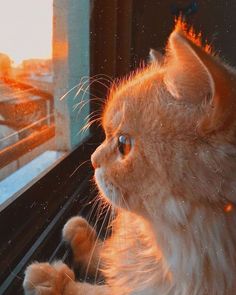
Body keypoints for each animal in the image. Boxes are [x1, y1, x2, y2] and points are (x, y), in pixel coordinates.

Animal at [23, 21, 236, 295]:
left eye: (123, 144)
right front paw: (83, 237)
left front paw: (52, 280)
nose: (92, 160)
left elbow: (91, 289)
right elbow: (110, 256)